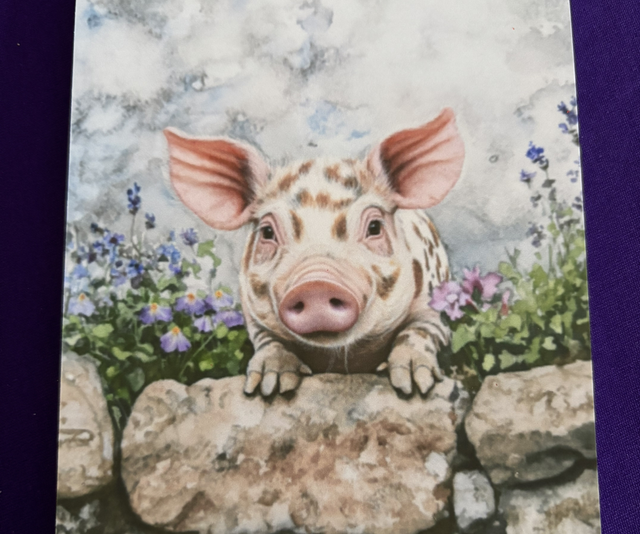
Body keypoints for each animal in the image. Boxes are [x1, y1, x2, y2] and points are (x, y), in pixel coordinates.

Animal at [164, 108, 465, 397]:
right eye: (267, 232)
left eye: (375, 226)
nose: (316, 284)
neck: (340, 359)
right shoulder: (253, 317)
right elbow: (268, 342)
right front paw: (269, 388)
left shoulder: (435, 305)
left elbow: (420, 330)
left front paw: (415, 386)